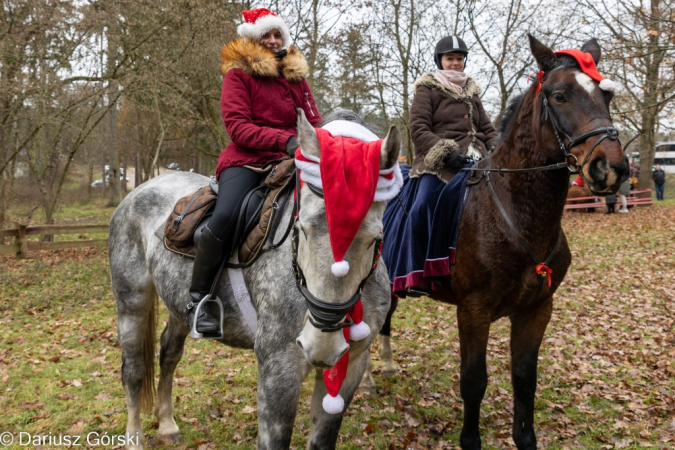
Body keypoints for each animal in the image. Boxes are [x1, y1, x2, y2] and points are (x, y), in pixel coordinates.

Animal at [107, 110, 398, 448]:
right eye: (300, 228)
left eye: (375, 238)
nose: (322, 345)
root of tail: (138, 192)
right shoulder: (278, 370)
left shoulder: (351, 364)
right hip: (132, 302)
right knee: (133, 370)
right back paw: (134, 437)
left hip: (178, 304)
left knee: (169, 353)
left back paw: (167, 425)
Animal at [364, 33, 628, 448]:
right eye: (559, 95)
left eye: (607, 96)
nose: (611, 168)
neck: (515, 212)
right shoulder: (473, 310)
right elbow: (474, 382)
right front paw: (470, 440)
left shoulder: (537, 309)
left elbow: (524, 379)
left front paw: (525, 437)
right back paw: (368, 382)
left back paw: (388, 367)